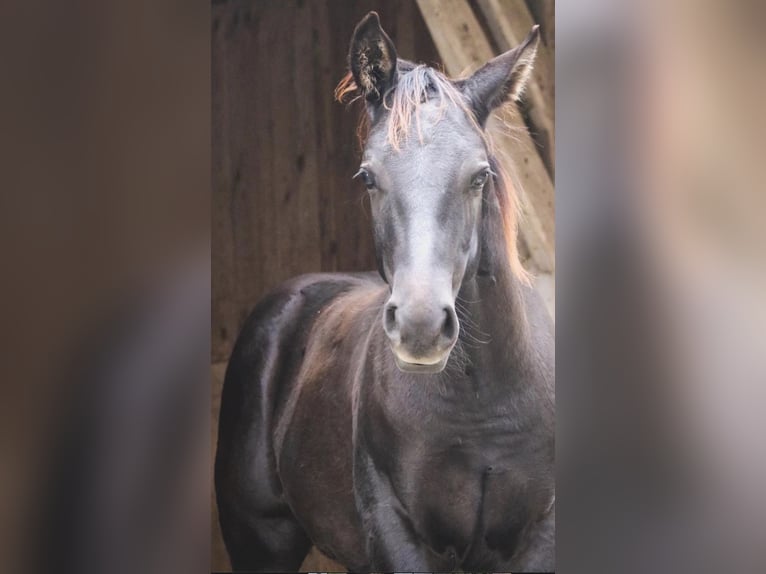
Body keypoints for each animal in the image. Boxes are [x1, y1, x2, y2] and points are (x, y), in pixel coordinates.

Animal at [216, 11, 560, 572]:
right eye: (368, 176)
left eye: (479, 176)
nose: (422, 327)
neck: (481, 408)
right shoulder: (399, 534)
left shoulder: (540, 537)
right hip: (260, 540)